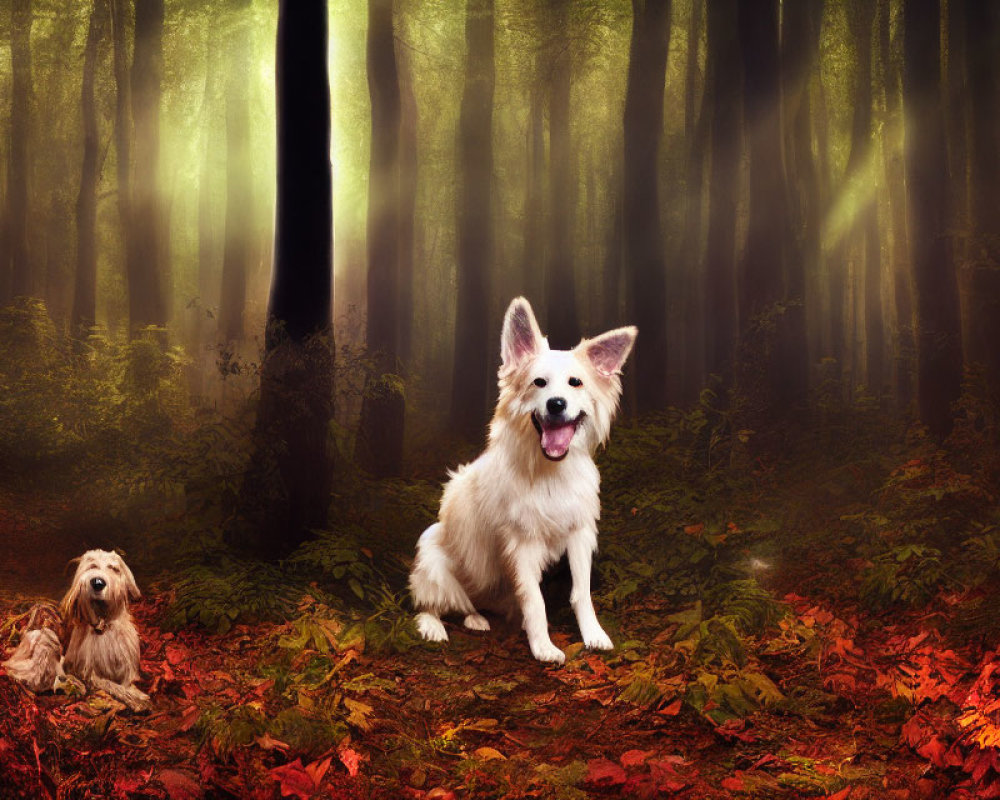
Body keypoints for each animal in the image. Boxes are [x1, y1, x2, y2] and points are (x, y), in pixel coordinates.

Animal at [58, 552, 148, 712]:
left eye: (113, 568)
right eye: (92, 565)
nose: (97, 582)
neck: (103, 624)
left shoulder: (127, 667)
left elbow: (125, 683)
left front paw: (135, 695)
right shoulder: (89, 671)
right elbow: (109, 684)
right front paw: (136, 699)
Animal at [410, 296, 636, 660]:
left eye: (576, 383)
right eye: (538, 382)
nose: (556, 404)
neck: (550, 472)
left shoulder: (579, 535)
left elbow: (581, 593)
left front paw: (593, 634)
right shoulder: (522, 545)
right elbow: (535, 601)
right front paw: (543, 646)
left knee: (469, 606)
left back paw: (476, 618)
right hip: (433, 554)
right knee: (432, 604)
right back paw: (435, 626)